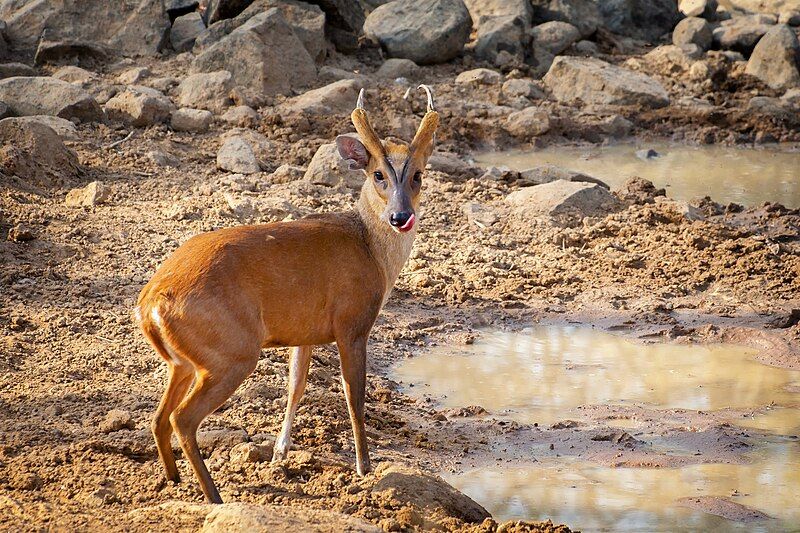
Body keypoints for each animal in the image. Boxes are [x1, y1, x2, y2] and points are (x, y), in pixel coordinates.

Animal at [135, 85, 440, 500]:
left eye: (418, 175)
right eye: (378, 174)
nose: (400, 216)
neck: (370, 249)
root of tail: (150, 302)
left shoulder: (304, 331)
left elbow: (296, 385)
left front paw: (280, 452)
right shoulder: (352, 324)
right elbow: (354, 397)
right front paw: (364, 468)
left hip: (183, 361)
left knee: (158, 417)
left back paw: (173, 478)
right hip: (231, 353)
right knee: (182, 419)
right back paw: (214, 496)